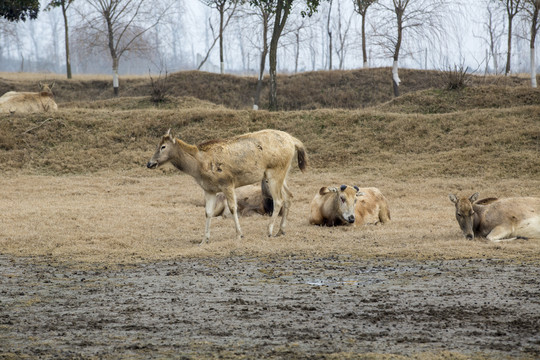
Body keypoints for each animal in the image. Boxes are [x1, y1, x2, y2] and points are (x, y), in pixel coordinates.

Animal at [147, 129, 308, 245]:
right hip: (283, 173)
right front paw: (204, 240)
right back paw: (281, 230)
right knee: (289, 196)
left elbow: (233, 208)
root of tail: (293, 141)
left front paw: (239, 235)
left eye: (163, 146)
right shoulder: (209, 189)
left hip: (274, 172)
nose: (150, 163)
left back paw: (269, 231)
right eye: (156, 145)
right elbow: (208, 212)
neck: (199, 167)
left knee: (279, 200)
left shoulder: (227, 183)